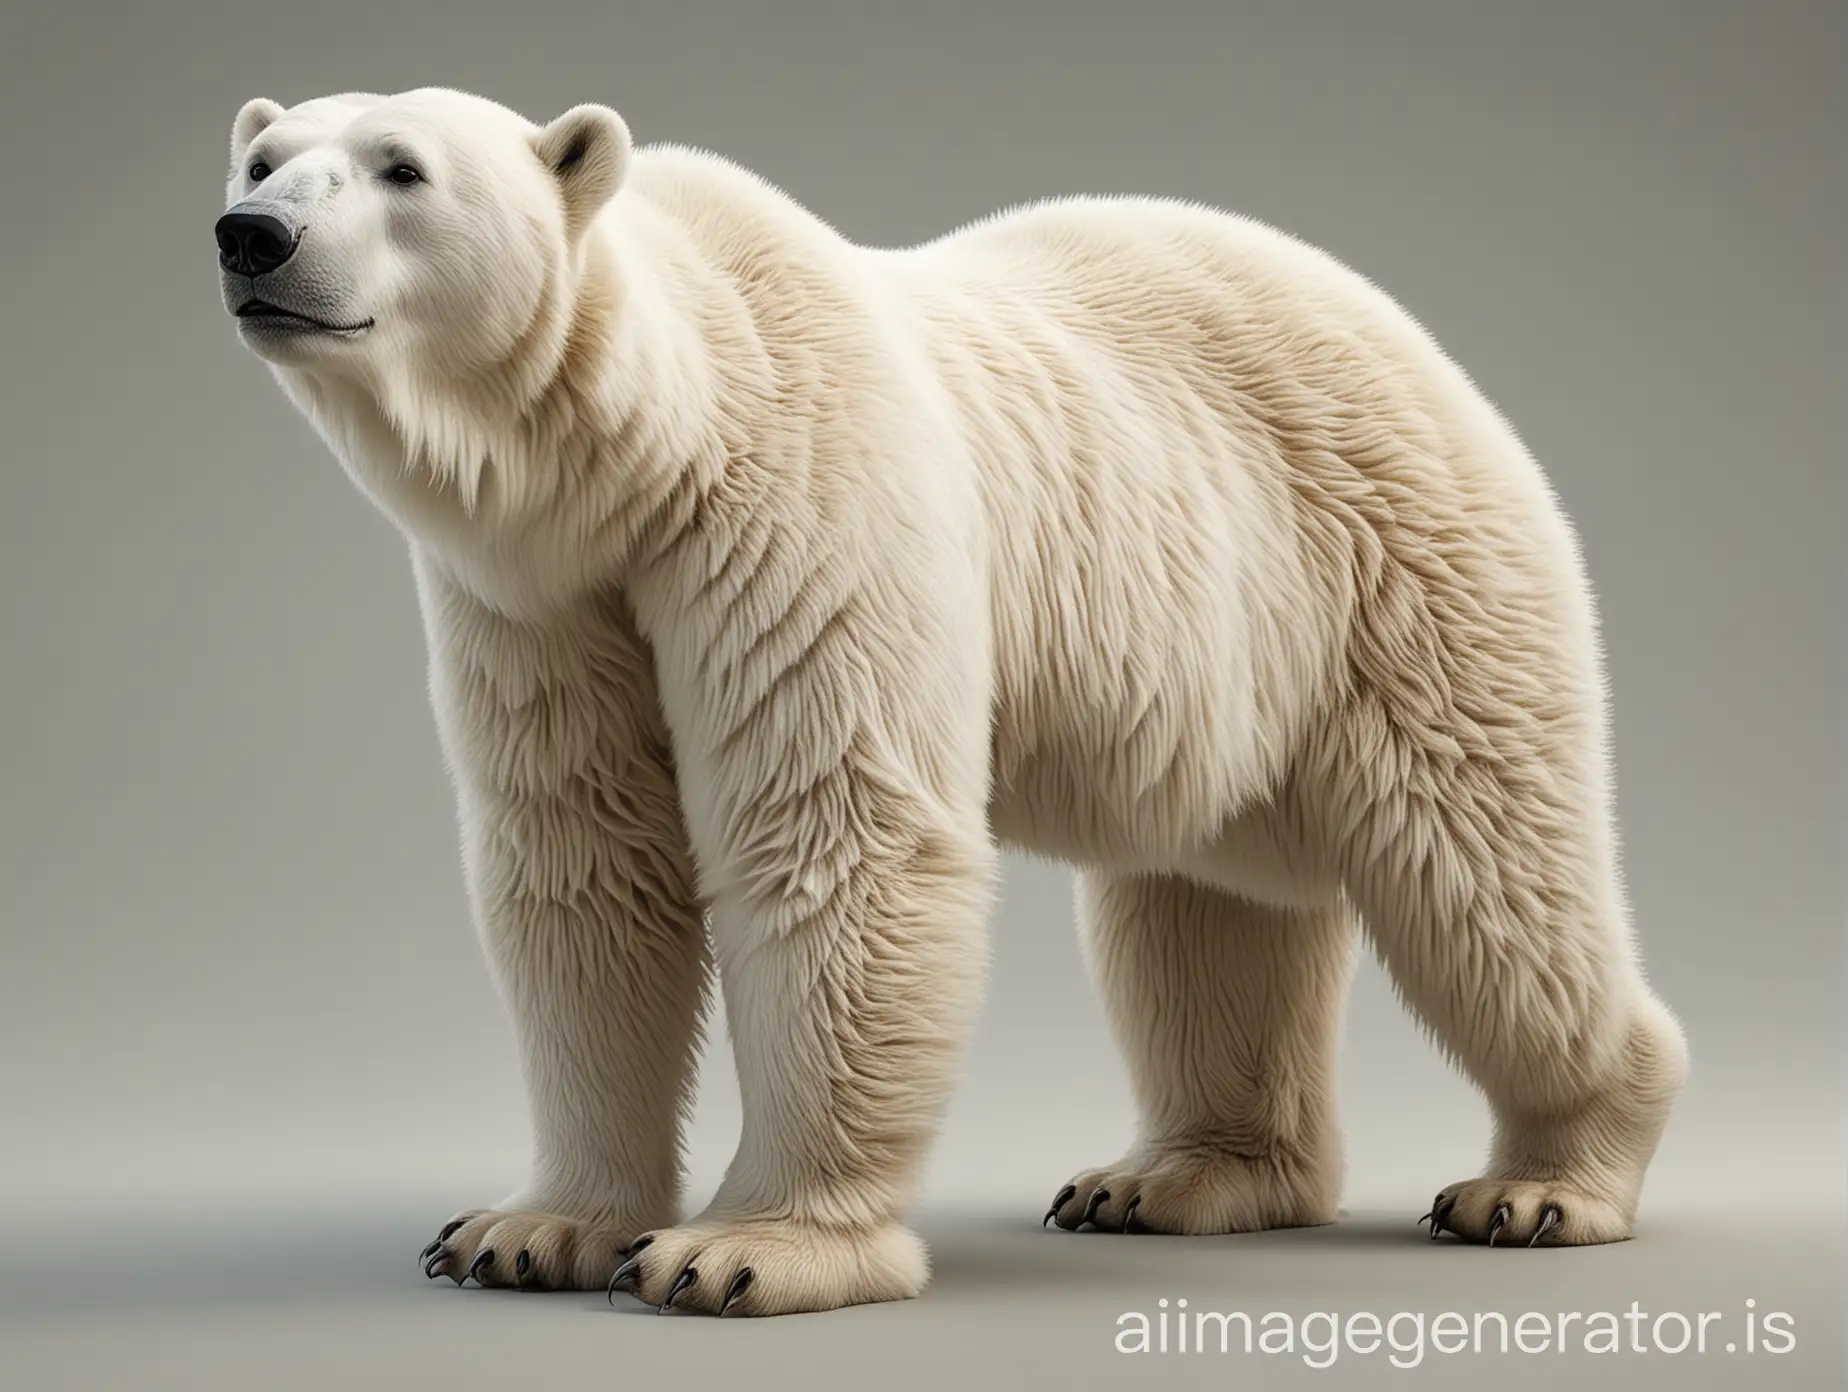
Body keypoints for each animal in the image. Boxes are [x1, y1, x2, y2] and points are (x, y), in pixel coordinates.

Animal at [216, 84, 1692, 1316]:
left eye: (403, 168)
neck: (647, 446)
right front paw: (528, 1230)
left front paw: (740, 1252)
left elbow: (834, 834)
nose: (252, 238)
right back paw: (1173, 1176)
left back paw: (1542, 1183)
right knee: (1206, 907)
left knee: (1480, 874)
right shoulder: (540, 602)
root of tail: (1419, 342)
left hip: (1400, 571)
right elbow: (586, 861)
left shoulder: (794, 509)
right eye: (263, 160)